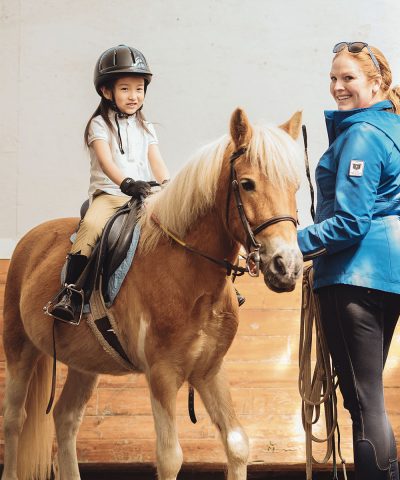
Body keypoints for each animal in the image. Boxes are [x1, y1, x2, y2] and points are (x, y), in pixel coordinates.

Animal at [0, 109, 304, 480]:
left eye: (295, 186)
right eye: (247, 184)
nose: (287, 267)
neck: (190, 274)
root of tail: (31, 239)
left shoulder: (210, 370)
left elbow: (237, 444)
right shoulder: (162, 373)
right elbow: (170, 457)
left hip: (85, 364)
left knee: (65, 417)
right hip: (19, 347)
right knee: (14, 420)